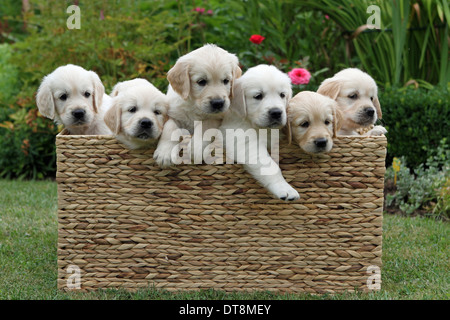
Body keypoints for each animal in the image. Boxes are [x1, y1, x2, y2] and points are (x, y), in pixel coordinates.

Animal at [221, 63, 300, 201]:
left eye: (282, 95)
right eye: (258, 96)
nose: (276, 112)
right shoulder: (245, 140)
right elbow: (271, 166)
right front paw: (284, 188)